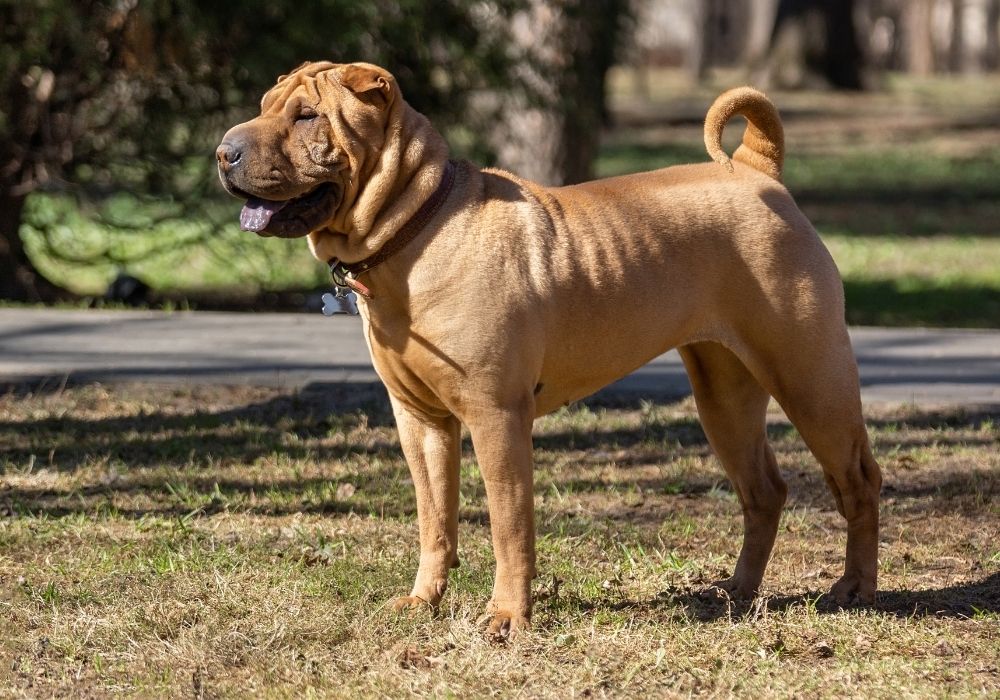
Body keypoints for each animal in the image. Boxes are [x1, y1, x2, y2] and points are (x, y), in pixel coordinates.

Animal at [217, 61, 876, 640]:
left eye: (306, 116)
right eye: (263, 107)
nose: (224, 152)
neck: (414, 231)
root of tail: (756, 170)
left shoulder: (496, 417)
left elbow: (509, 525)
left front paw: (507, 617)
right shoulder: (420, 420)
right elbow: (435, 521)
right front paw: (424, 601)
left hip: (811, 381)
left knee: (859, 481)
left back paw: (854, 590)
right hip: (724, 398)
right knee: (764, 491)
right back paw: (738, 591)